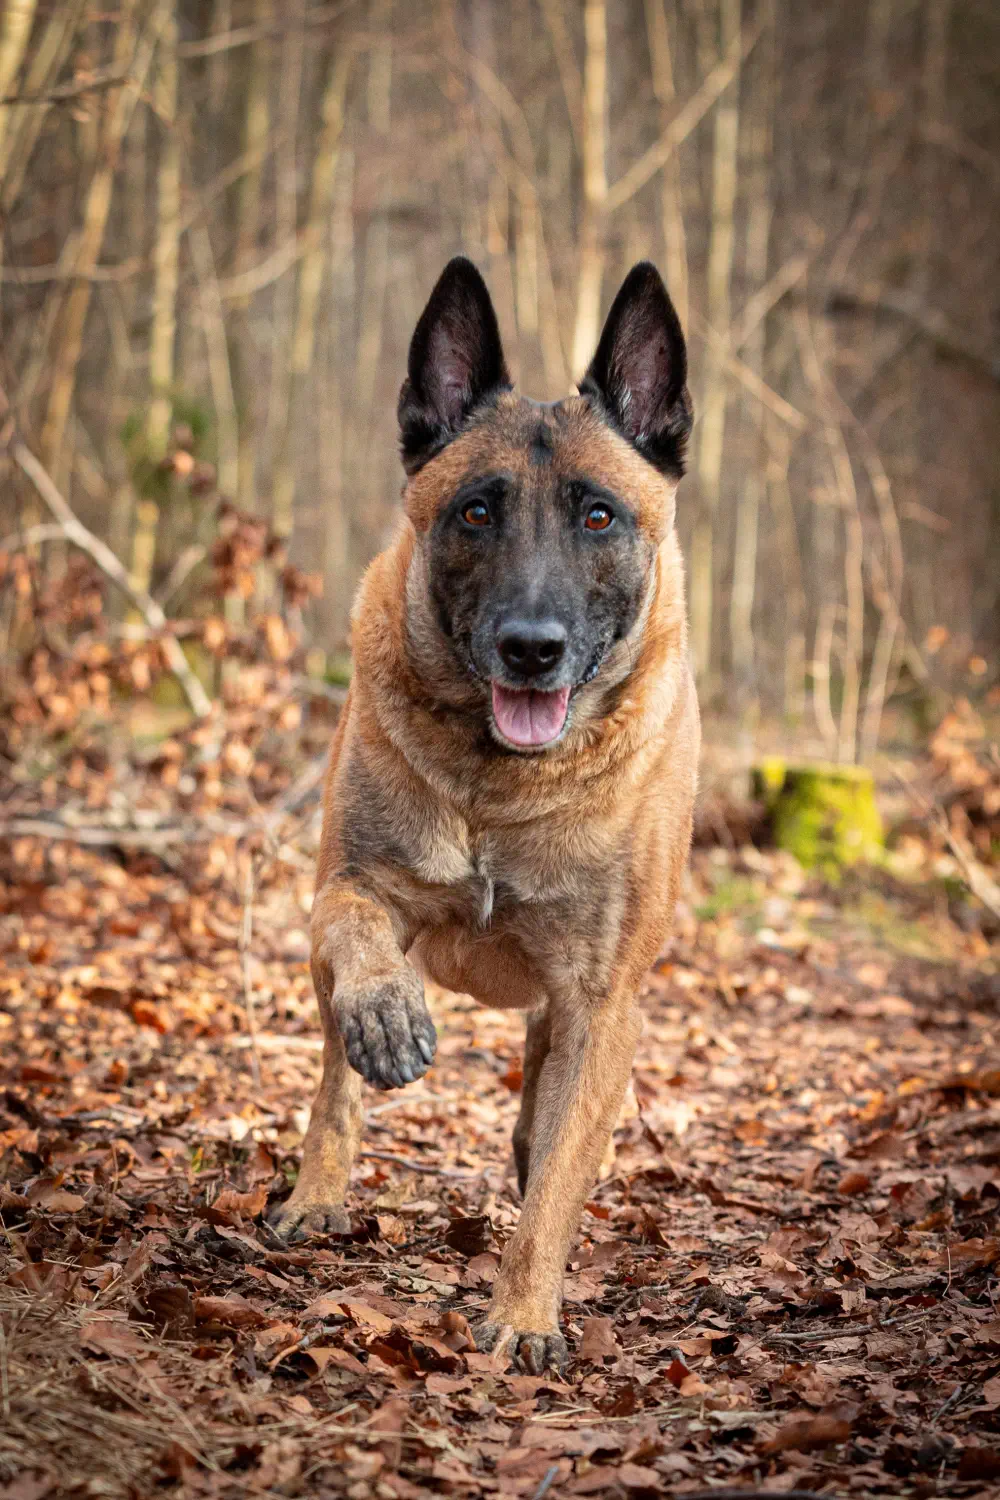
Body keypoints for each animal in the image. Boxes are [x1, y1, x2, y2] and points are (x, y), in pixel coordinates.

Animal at [269, 257, 700, 1373]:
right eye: (475, 512)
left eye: (598, 516)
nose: (531, 648)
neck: (501, 786)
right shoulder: (345, 886)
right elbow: (359, 939)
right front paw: (389, 1014)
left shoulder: (600, 1001)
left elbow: (555, 1181)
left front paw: (523, 1316)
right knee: (334, 1079)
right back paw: (318, 1188)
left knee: (546, 1110)